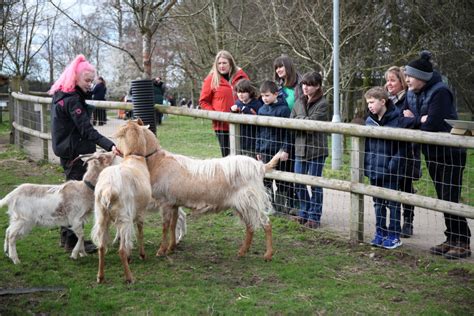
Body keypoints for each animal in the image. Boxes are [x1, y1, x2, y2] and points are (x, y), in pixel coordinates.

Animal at [90, 121, 152, 284]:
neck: (134, 159)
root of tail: (108, 190)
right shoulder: (139, 212)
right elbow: (140, 231)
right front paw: (141, 255)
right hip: (123, 216)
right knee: (121, 250)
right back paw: (129, 278)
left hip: (101, 216)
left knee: (101, 246)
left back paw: (100, 277)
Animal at [115, 119, 282, 262]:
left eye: (121, 135)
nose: (115, 149)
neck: (156, 161)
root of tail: (260, 166)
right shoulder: (174, 202)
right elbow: (173, 225)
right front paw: (171, 248)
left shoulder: (165, 202)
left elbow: (165, 226)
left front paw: (161, 251)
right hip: (243, 203)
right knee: (251, 226)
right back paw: (242, 252)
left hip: (251, 200)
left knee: (266, 224)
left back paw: (268, 254)